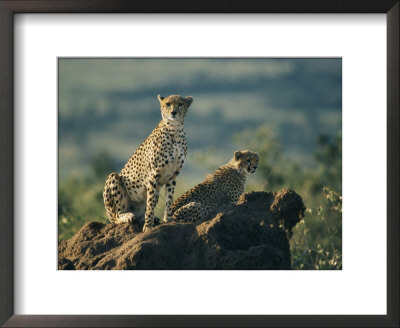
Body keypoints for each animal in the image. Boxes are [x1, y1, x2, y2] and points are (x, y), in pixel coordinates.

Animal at [103, 93, 194, 232]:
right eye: (168, 104)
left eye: (180, 104)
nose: (173, 112)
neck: (174, 129)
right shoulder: (153, 175)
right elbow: (150, 203)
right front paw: (148, 226)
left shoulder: (173, 175)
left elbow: (169, 200)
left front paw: (168, 220)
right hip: (113, 179)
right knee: (116, 216)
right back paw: (127, 216)